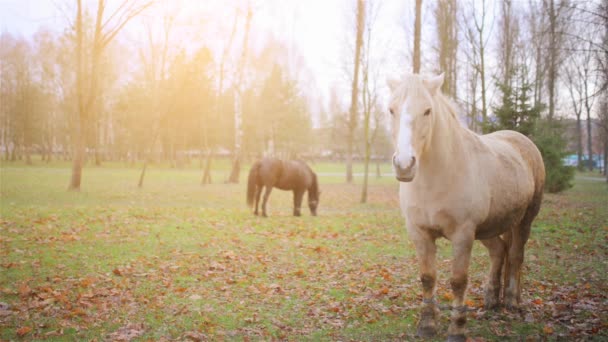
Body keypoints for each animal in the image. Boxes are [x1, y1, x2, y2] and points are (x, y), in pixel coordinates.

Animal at [388, 73, 548, 340]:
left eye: (428, 111)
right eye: (391, 110)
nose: (404, 165)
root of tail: (522, 140)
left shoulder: (463, 234)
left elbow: (458, 281)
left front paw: (457, 329)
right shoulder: (419, 233)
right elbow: (427, 278)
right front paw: (427, 325)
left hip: (525, 220)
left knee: (516, 255)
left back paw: (512, 302)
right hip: (488, 228)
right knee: (499, 251)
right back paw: (492, 300)